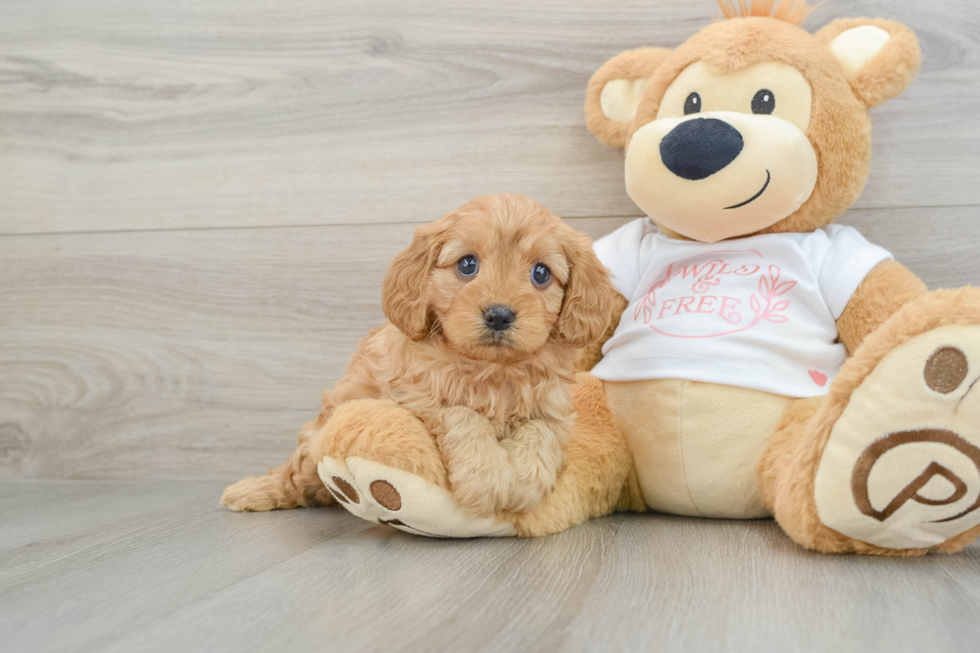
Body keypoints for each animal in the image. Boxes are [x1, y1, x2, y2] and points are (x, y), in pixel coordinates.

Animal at [222, 191, 612, 516]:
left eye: (541, 273)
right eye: (467, 265)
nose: (499, 315)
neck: (492, 369)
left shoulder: (553, 408)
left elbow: (542, 434)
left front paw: (524, 487)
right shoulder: (414, 394)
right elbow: (463, 415)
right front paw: (486, 481)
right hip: (317, 439)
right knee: (293, 477)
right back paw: (253, 492)